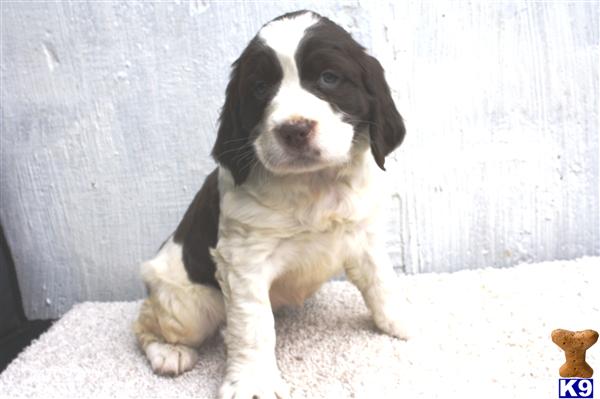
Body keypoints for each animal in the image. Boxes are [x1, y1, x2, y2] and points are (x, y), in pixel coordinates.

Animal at [134, 10, 410, 399]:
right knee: (146, 322)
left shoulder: (363, 236)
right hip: (190, 307)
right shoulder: (244, 260)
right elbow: (253, 325)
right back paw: (169, 353)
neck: (314, 184)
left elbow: (381, 282)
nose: (294, 129)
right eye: (261, 88)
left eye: (329, 78)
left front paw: (400, 321)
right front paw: (254, 381)